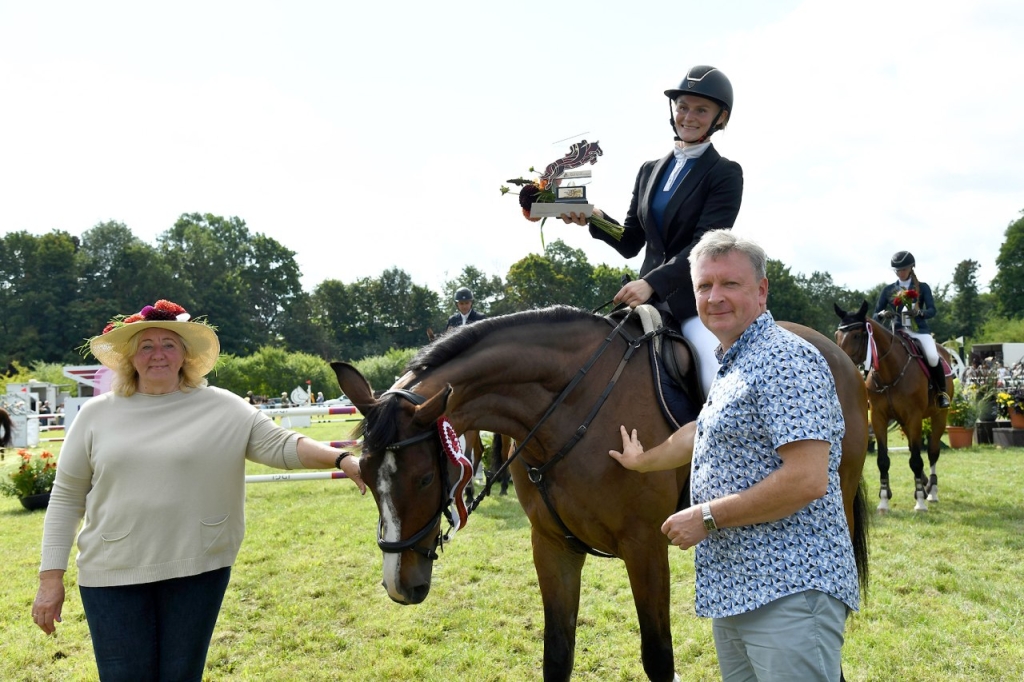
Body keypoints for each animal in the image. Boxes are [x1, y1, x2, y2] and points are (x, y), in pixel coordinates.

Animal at [331, 307, 868, 679]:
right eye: (365, 473)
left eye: (424, 478)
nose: (400, 586)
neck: (570, 409)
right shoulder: (552, 547)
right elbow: (557, 655)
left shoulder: (645, 546)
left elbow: (658, 658)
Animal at [831, 301, 950, 509]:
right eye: (837, 335)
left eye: (856, 335)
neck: (890, 371)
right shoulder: (879, 417)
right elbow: (883, 460)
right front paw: (884, 500)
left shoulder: (914, 417)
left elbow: (917, 460)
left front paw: (920, 501)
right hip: (904, 422)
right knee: (913, 449)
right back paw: (924, 483)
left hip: (938, 416)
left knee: (932, 452)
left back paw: (931, 492)